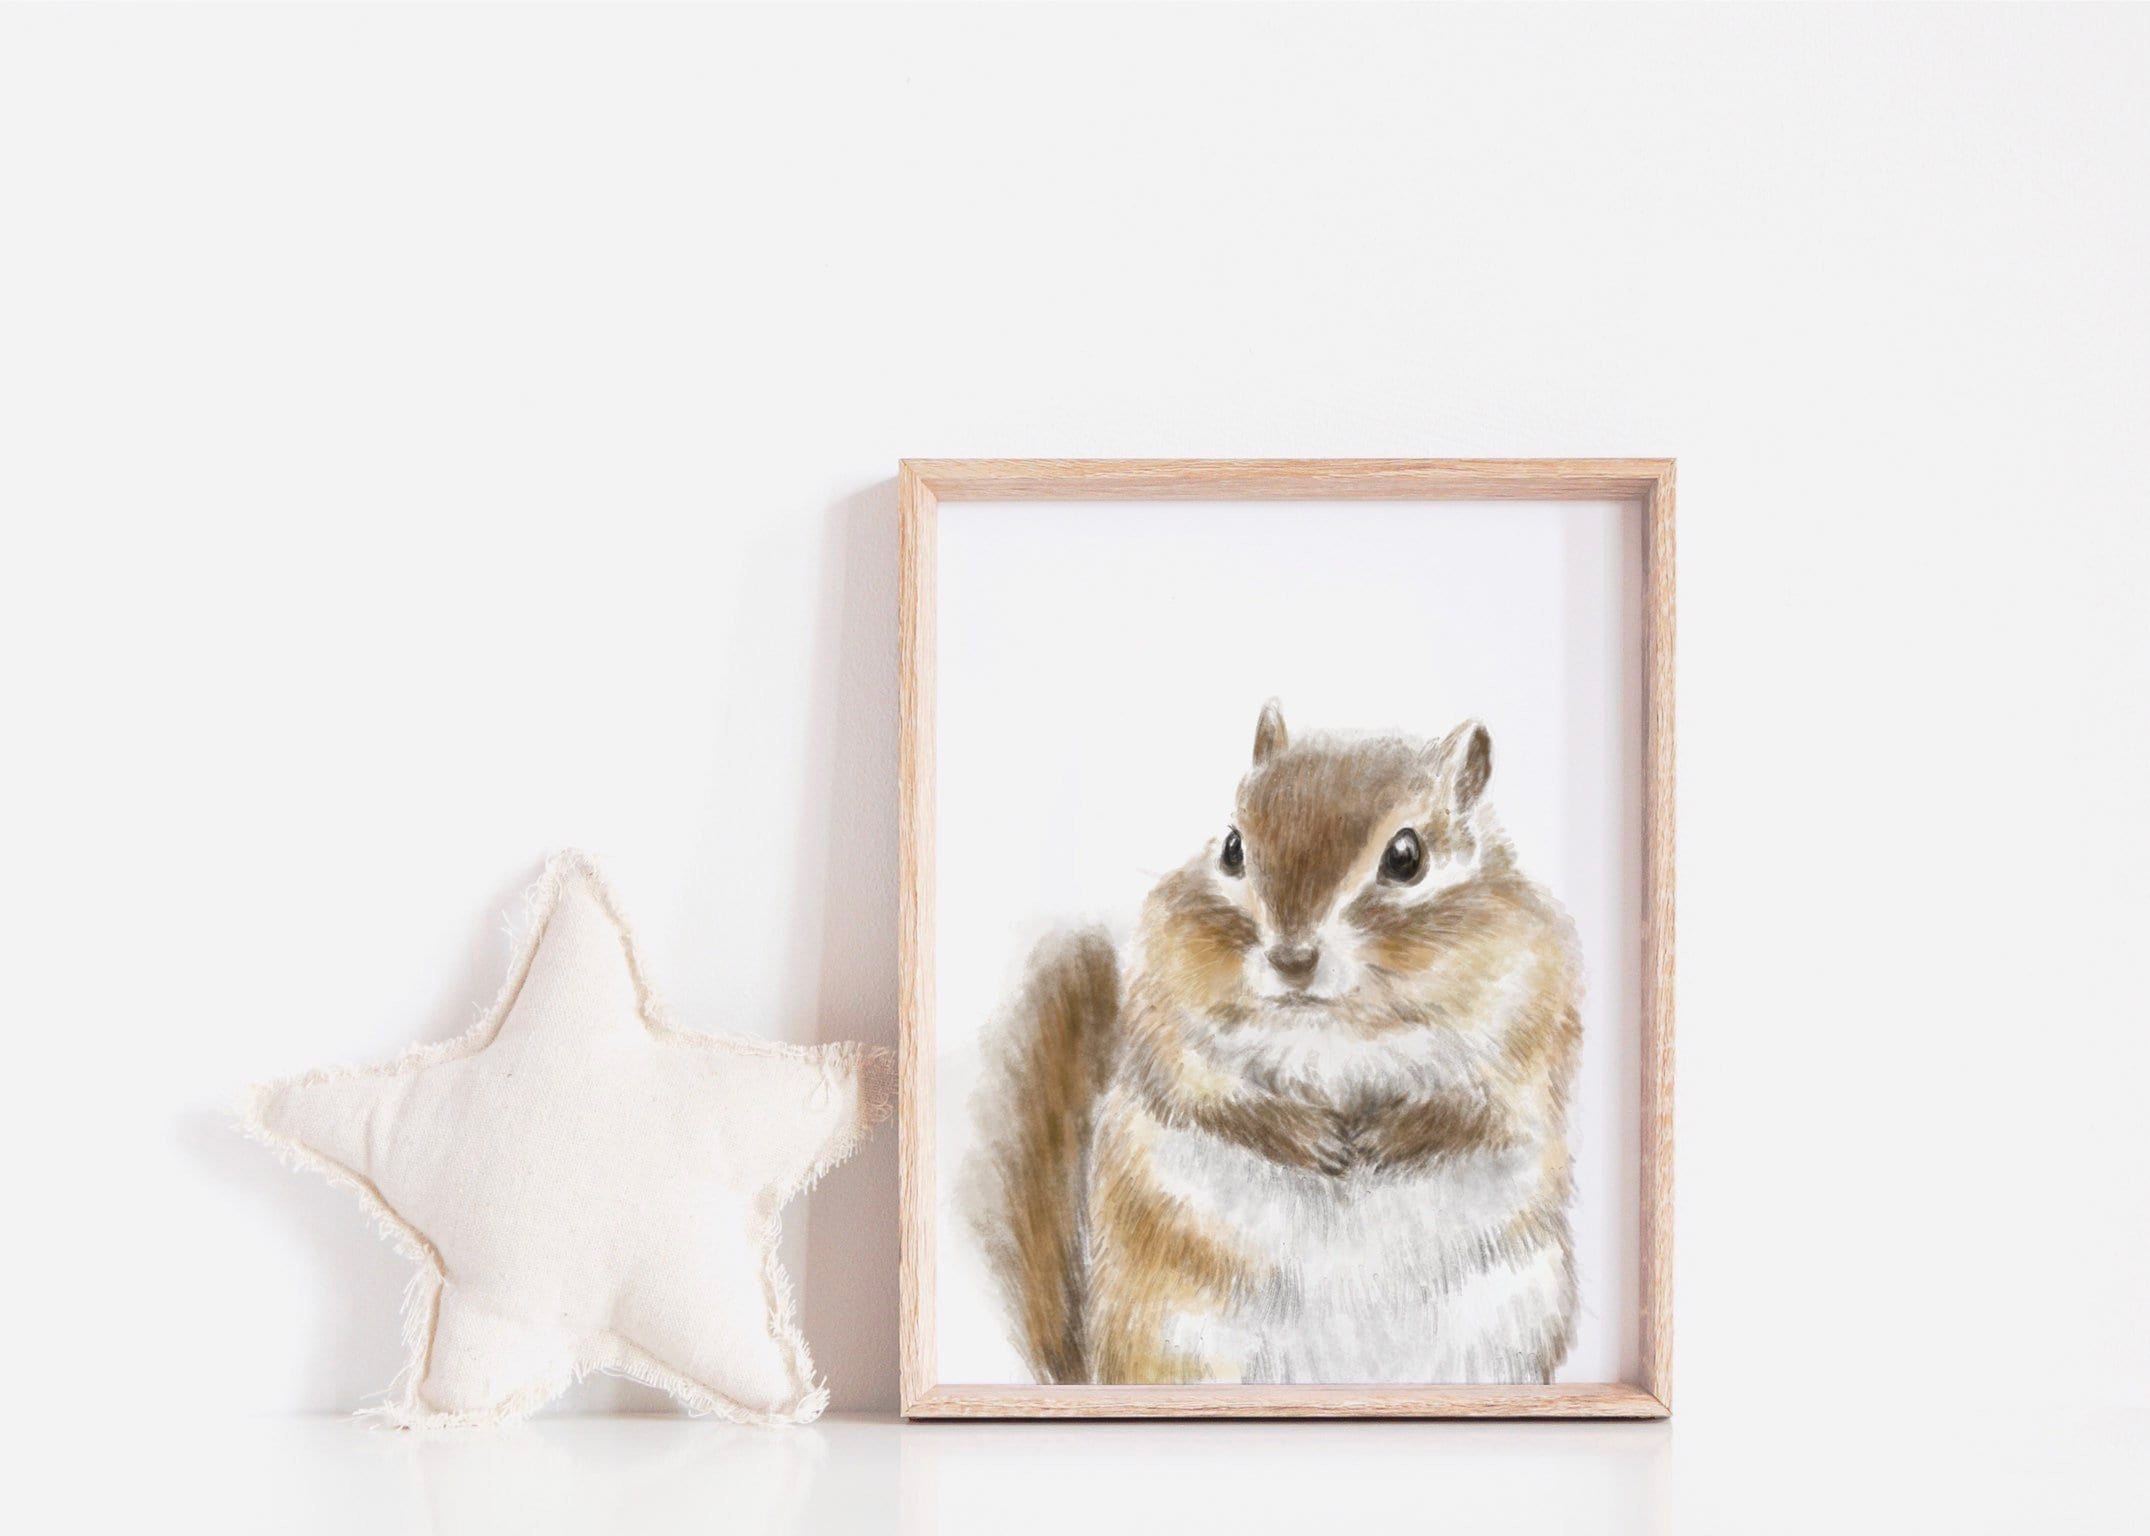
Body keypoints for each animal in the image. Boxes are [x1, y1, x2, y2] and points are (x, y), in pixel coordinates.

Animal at [969, 701, 1582, 1385]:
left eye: (1406, 857)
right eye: (1233, 847)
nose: (1292, 959)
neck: (1337, 1025)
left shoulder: (1529, 1029)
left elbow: (1482, 1113)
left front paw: (1389, 1136)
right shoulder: (1165, 1021)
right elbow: (1207, 1098)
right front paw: (1307, 1137)